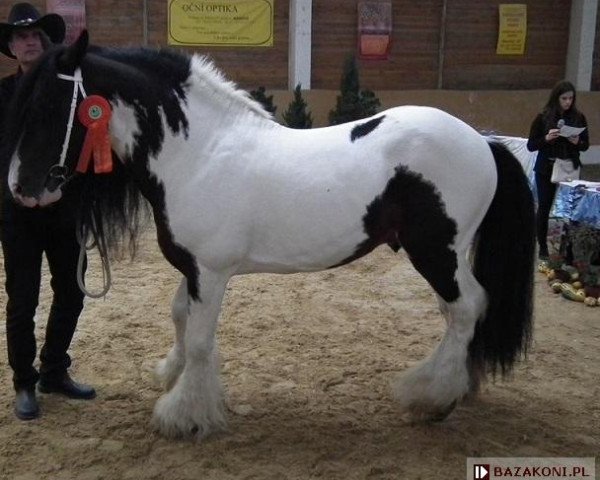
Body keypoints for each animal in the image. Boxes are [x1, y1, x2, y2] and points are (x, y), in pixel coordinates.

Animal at [4, 31, 536, 440]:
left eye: (49, 105)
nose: (21, 189)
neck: (198, 152)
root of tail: (483, 141)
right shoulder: (193, 268)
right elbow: (180, 320)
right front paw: (174, 378)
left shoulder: (211, 272)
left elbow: (200, 338)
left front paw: (184, 416)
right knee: (461, 312)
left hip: (436, 251)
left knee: (465, 308)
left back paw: (432, 398)